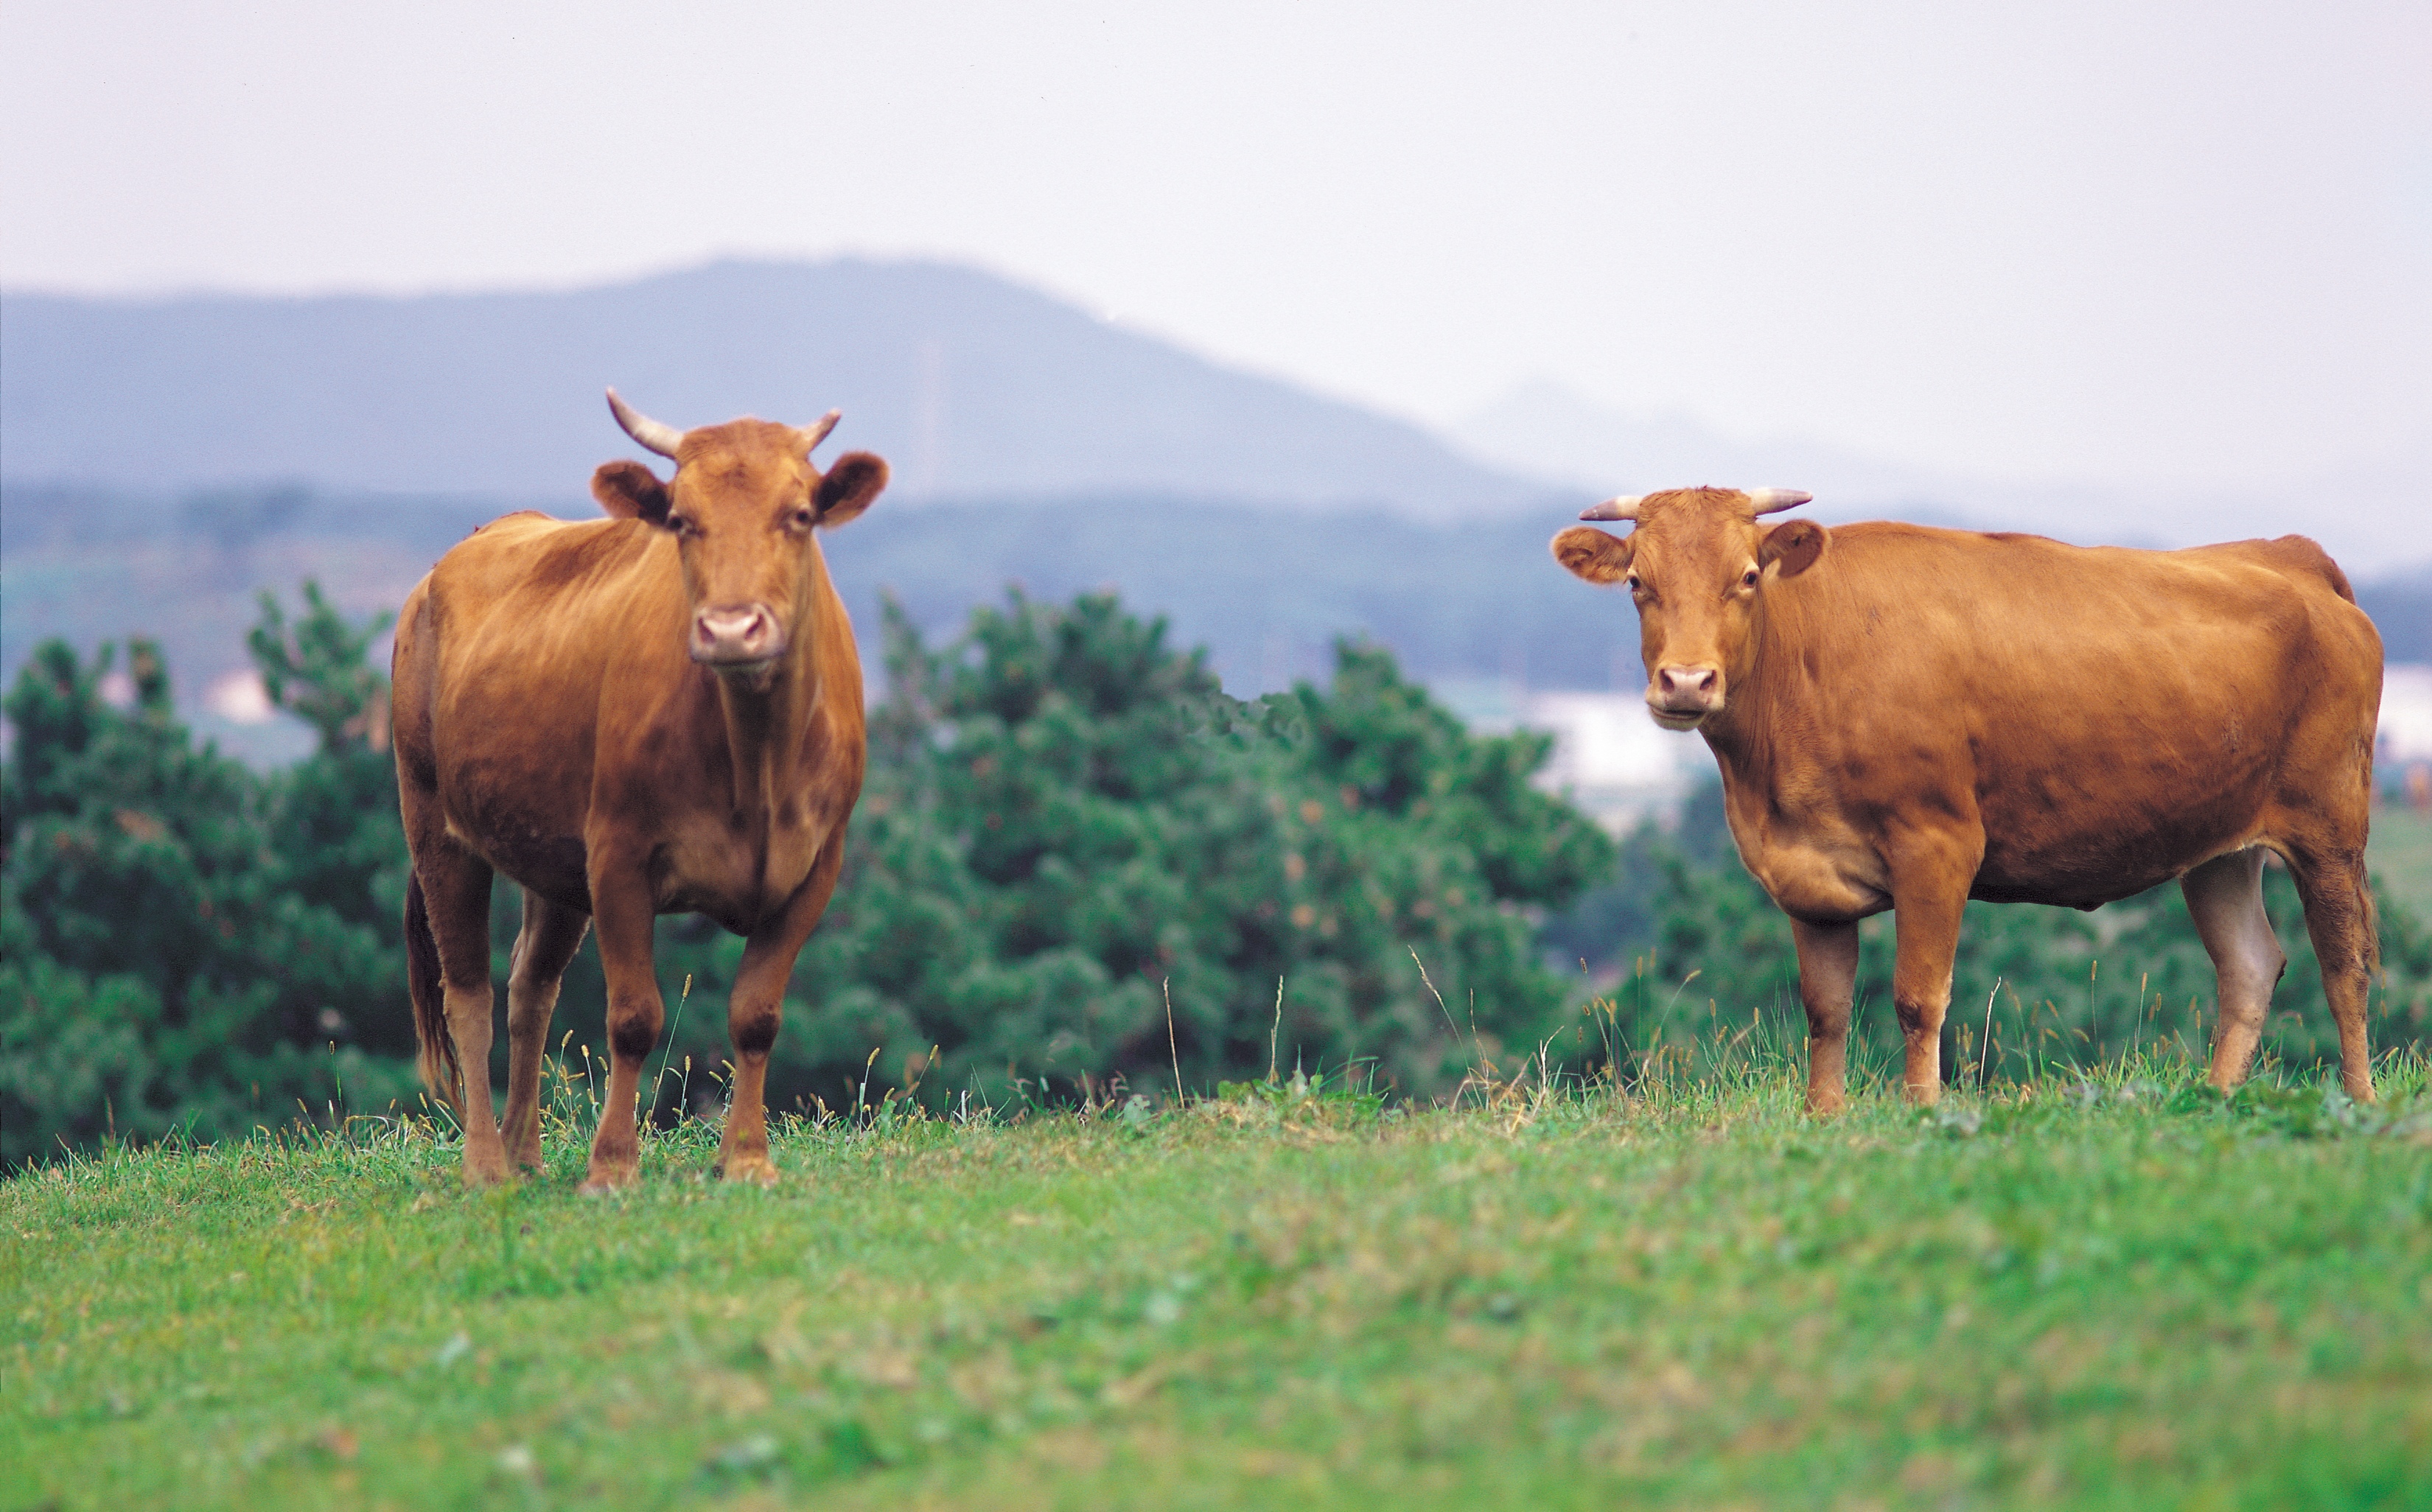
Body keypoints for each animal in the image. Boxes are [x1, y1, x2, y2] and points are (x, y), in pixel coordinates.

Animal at [394, 393, 890, 1196]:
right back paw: (487, 1165)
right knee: (467, 992)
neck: (756, 762)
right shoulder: (619, 857)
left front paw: (746, 1158)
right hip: (434, 822)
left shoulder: (817, 867)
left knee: (530, 987)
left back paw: (526, 1151)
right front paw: (613, 1166)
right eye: (682, 519)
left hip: (550, 857)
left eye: (800, 515)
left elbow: (757, 1015)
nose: (732, 628)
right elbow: (633, 1018)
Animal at [1556, 496, 2373, 1113]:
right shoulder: (1807, 877)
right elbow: (1825, 1010)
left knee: (2347, 964)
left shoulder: (1938, 845)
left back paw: (2360, 1100)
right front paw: (1823, 1116)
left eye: (1749, 576)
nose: (1686, 682)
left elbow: (1919, 998)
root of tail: (2287, 553)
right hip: (2217, 848)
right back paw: (2216, 1100)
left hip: (2329, 824)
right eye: (1637, 581)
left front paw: (1924, 1110)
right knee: (2250, 965)